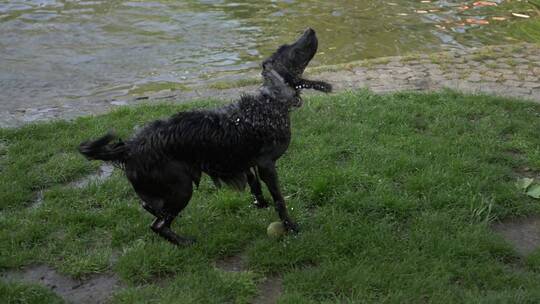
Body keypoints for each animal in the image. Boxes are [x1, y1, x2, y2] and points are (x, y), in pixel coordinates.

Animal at [79, 28, 334, 246]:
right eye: (292, 49)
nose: (310, 30)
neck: (270, 102)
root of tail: (129, 148)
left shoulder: (247, 161)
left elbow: (255, 185)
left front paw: (260, 203)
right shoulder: (266, 164)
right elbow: (280, 201)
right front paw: (291, 227)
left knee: (150, 208)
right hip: (181, 188)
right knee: (158, 225)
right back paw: (185, 243)